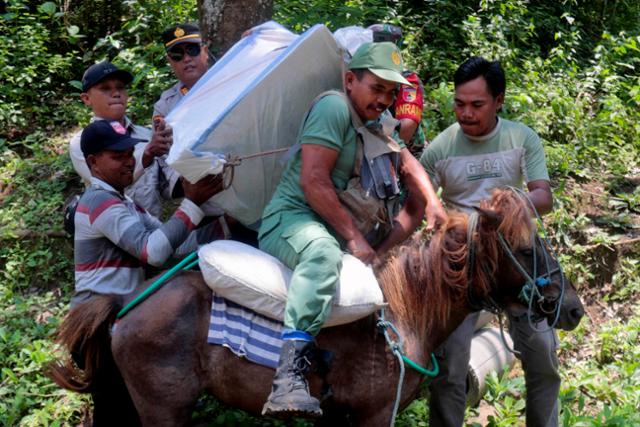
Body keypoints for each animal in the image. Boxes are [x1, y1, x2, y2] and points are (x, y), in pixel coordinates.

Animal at [50, 189, 584, 426]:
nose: (574, 308)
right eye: (527, 249)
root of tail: (124, 304)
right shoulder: (374, 416)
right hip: (164, 411)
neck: (404, 310)